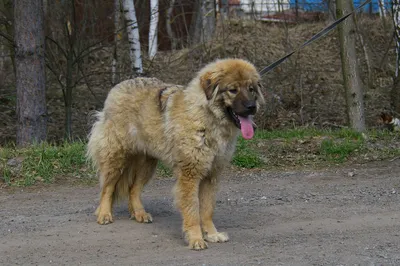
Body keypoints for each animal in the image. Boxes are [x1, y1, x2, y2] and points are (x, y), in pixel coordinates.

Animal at [86, 57, 264, 249]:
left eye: (251, 89)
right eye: (233, 90)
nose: (252, 107)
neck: (207, 118)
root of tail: (118, 87)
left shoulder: (211, 175)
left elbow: (207, 209)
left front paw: (212, 234)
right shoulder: (190, 174)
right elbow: (192, 210)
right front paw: (196, 239)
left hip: (147, 164)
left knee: (134, 189)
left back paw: (140, 213)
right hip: (117, 157)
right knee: (107, 187)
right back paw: (104, 214)